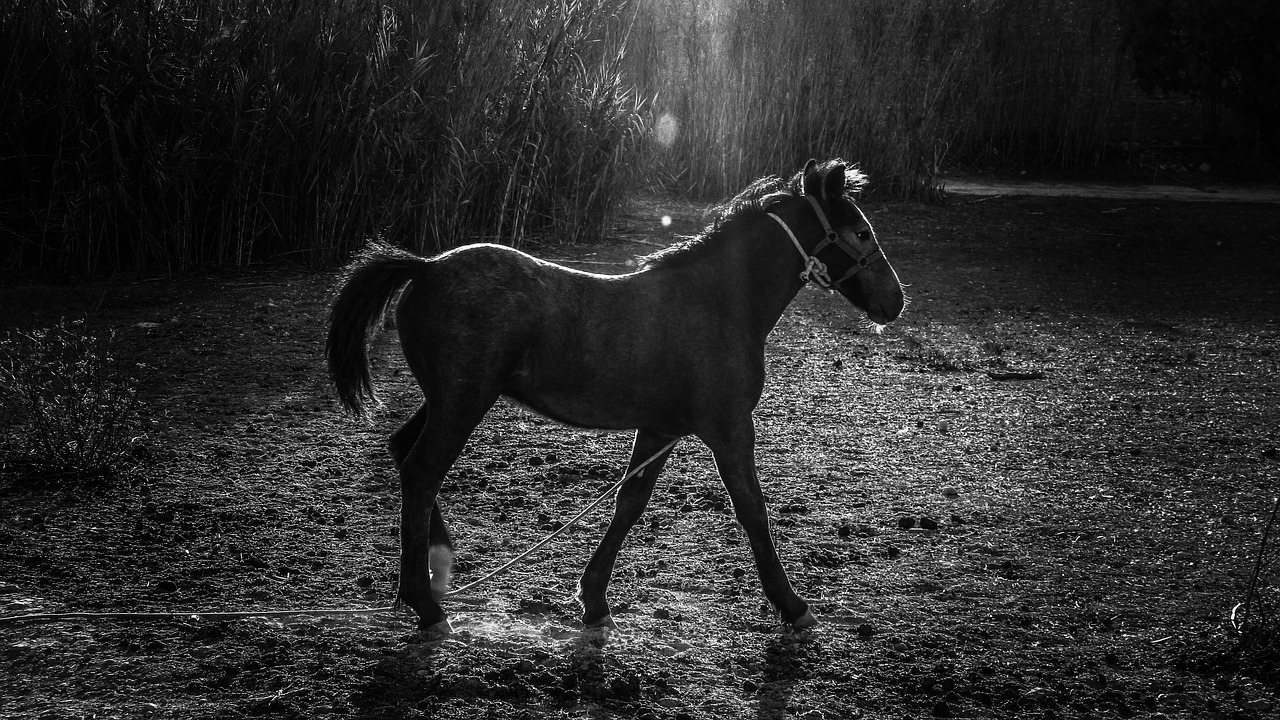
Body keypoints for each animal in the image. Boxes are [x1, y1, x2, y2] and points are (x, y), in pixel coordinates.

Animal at [330, 158, 911, 632]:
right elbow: (752, 509)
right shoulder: (728, 428)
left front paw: (594, 600)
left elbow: (630, 504)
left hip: (450, 399)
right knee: (422, 471)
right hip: (462, 401)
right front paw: (792, 607)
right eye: (860, 232)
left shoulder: (661, 427)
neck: (718, 303)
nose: (895, 302)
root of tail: (426, 266)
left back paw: (438, 564)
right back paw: (425, 603)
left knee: (404, 450)